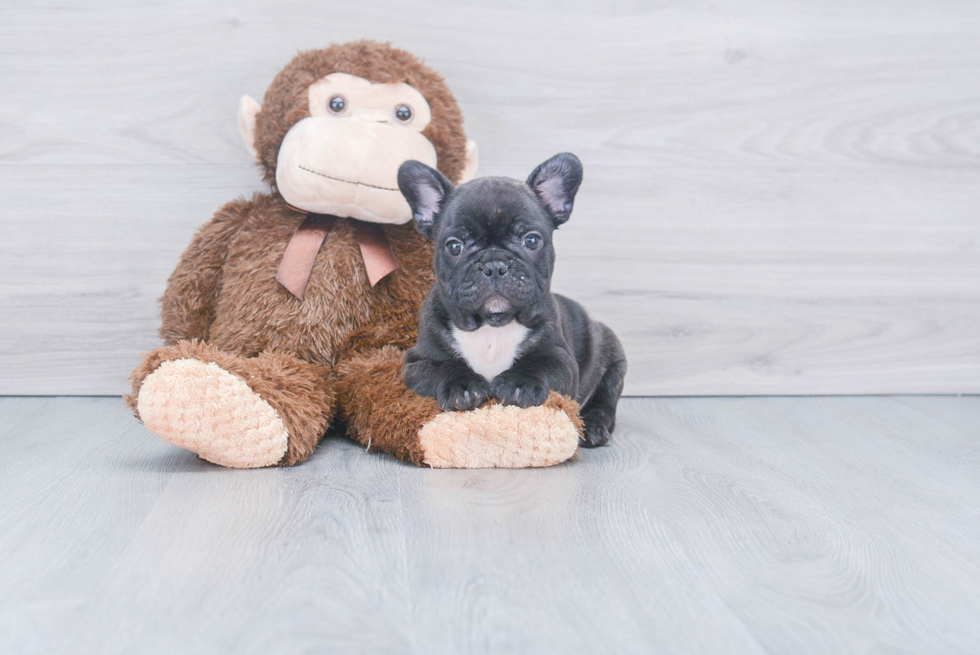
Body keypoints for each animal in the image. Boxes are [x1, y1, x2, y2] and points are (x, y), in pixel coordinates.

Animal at [398, 152, 628, 448]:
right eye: (454, 246)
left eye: (531, 240)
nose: (494, 264)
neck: (492, 326)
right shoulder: (417, 361)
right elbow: (442, 367)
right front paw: (462, 385)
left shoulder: (562, 358)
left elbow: (540, 363)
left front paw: (520, 383)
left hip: (613, 357)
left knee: (606, 400)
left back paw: (595, 426)